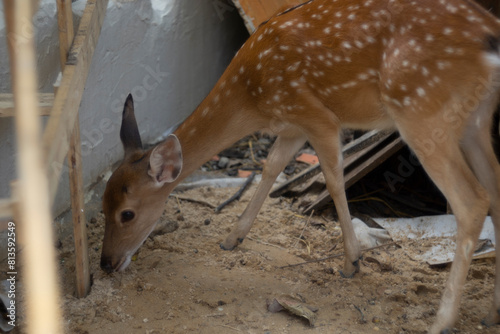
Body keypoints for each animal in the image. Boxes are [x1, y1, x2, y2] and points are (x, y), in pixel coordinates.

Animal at [99, 0, 500, 332]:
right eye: (102, 206)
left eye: (127, 214)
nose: (105, 263)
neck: (253, 95)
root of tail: (489, 37)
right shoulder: (292, 126)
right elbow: (271, 168)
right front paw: (232, 237)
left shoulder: (317, 117)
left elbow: (334, 180)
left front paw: (351, 263)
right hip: (474, 121)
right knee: (494, 189)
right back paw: (490, 312)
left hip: (422, 111)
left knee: (472, 200)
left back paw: (442, 321)